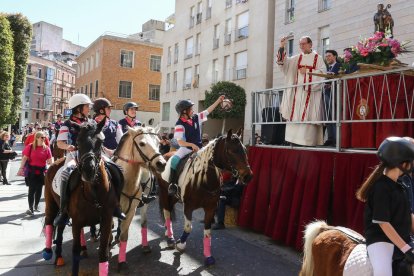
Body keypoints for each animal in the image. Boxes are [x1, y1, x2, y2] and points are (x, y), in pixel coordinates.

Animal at [42, 119, 119, 276]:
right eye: (78, 141)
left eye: (100, 142)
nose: (88, 170)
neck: (94, 193)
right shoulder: (77, 222)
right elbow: (75, 252)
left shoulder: (106, 220)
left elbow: (103, 253)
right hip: (51, 203)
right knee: (50, 221)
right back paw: (49, 253)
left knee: (60, 228)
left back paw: (59, 256)